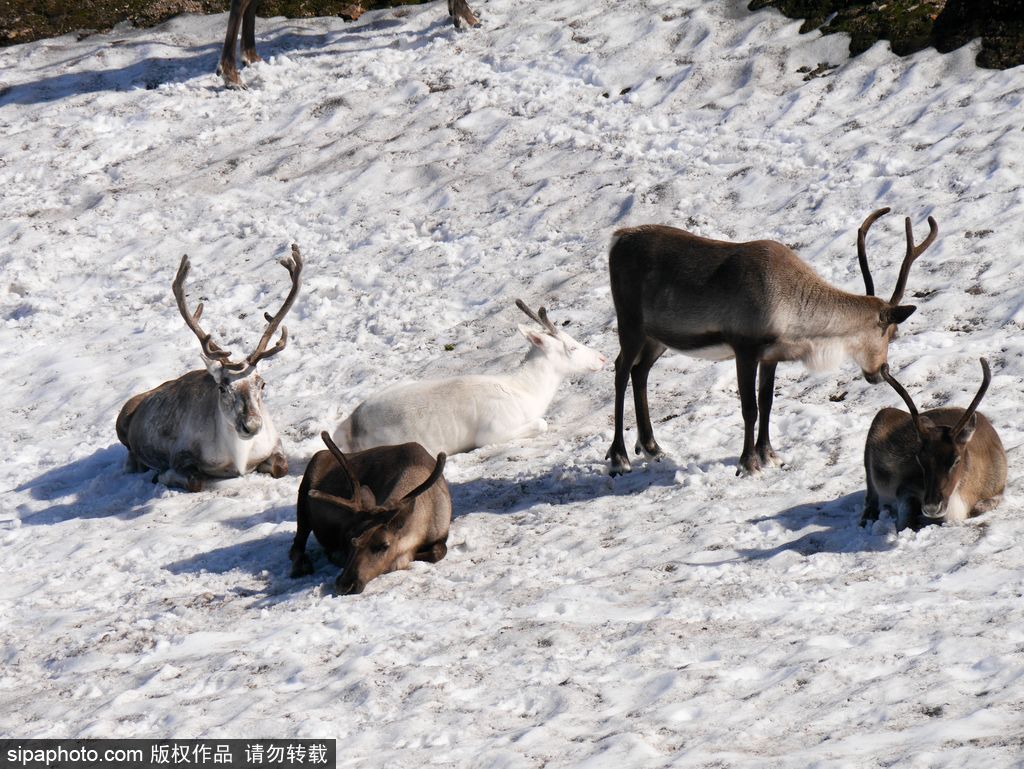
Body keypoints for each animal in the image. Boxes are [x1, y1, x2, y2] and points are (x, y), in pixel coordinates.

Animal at [116, 245, 303, 491]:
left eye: (262, 384)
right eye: (222, 388)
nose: (251, 426)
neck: (240, 458)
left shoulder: (275, 444)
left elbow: (282, 467)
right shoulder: (180, 455)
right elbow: (196, 480)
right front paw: (163, 475)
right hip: (122, 421)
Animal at [290, 432, 451, 595]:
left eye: (384, 545)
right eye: (349, 539)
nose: (345, 585)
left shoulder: (442, 534)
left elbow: (438, 552)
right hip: (303, 498)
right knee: (297, 544)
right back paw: (302, 566)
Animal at [333, 299, 606, 456]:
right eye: (572, 347)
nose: (602, 358)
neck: (525, 390)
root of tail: (350, 428)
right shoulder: (492, 433)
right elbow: (542, 423)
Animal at [606, 207, 938, 476]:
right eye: (891, 333)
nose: (881, 371)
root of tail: (617, 238)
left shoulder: (771, 355)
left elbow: (767, 402)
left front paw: (769, 455)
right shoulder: (745, 348)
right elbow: (749, 408)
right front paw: (748, 463)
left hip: (657, 336)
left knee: (640, 372)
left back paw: (651, 446)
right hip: (630, 323)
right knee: (620, 370)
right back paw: (619, 457)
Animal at [862, 358, 1006, 531]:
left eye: (956, 460)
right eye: (920, 459)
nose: (932, 507)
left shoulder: (998, 489)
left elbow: (979, 507)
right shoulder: (906, 487)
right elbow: (904, 523)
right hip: (879, 422)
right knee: (871, 497)